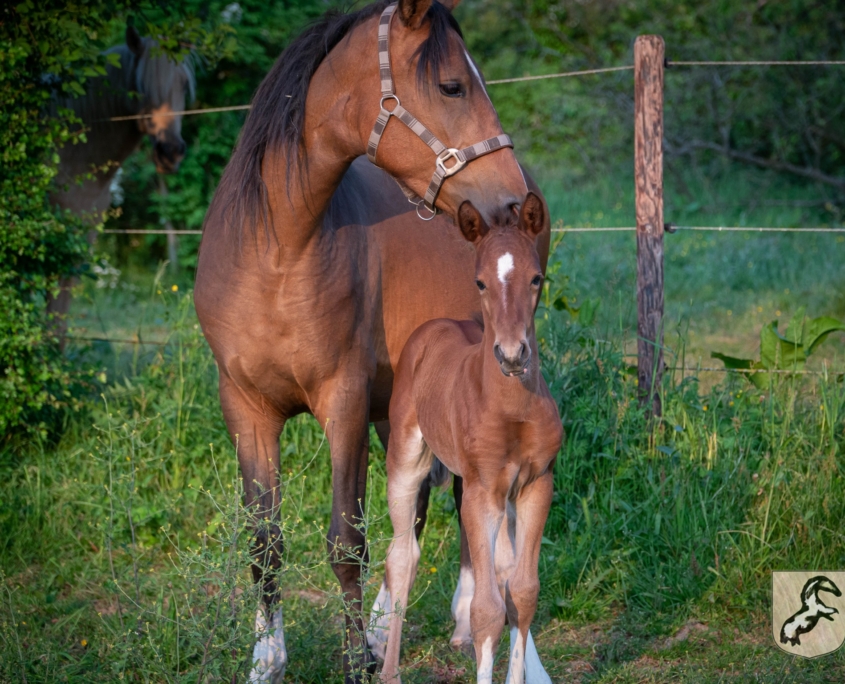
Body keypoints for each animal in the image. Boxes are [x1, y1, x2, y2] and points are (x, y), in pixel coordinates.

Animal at [380, 194, 564, 684]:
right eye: (480, 281)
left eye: (536, 278)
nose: (513, 355)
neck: (510, 408)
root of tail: (433, 327)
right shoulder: (481, 492)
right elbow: (485, 610)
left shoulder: (536, 485)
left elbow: (522, 592)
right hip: (406, 461)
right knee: (402, 556)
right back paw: (388, 670)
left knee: (501, 570)